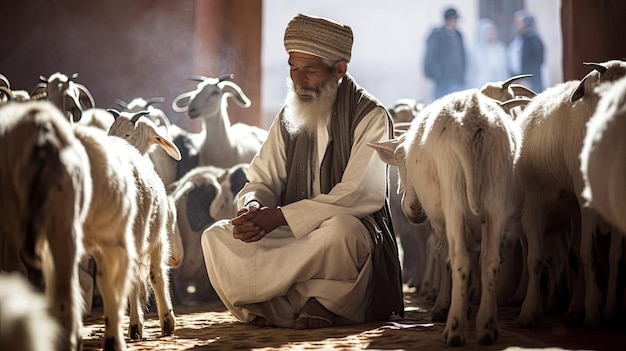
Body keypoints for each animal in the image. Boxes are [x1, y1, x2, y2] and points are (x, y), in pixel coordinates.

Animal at [368, 89, 520, 348]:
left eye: (401, 157)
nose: (414, 209)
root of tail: (474, 118)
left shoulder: (439, 221)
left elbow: (442, 255)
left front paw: (443, 306)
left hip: (454, 192)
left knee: (460, 259)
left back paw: (455, 329)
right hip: (495, 194)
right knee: (490, 260)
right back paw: (487, 326)